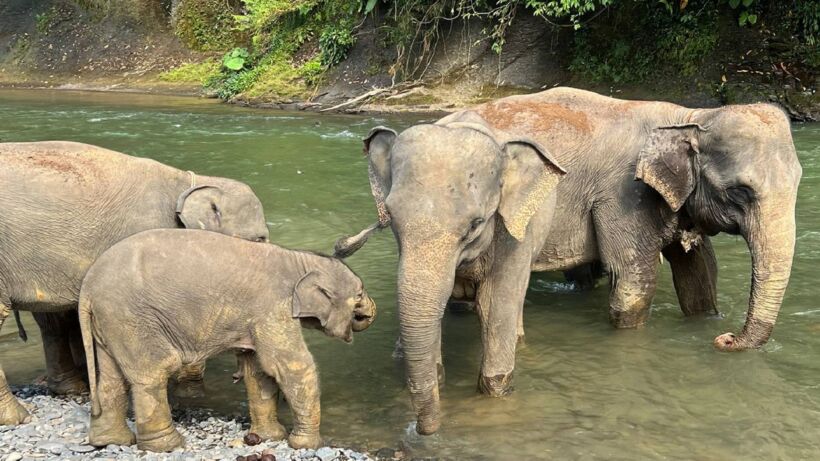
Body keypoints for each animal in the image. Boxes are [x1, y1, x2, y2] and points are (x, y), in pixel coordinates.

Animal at [0, 141, 270, 425]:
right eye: (260, 239)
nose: (235, 377)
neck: (188, 181)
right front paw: (190, 392)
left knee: (51, 320)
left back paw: (70, 389)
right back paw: (17, 416)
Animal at [79, 229, 376, 452]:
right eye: (360, 293)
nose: (368, 310)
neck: (298, 258)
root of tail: (88, 289)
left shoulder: (257, 317)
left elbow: (258, 371)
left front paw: (271, 437)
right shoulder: (272, 306)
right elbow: (290, 366)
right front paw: (306, 444)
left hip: (110, 323)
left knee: (112, 378)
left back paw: (111, 441)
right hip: (133, 318)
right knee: (154, 371)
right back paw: (168, 446)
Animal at [337, 87, 801, 434]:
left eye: (799, 183)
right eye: (741, 191)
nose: (726, 339)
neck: (688, 115)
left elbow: (699, 276)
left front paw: (704, 321)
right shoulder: (624, 196)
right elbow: (633, 286)